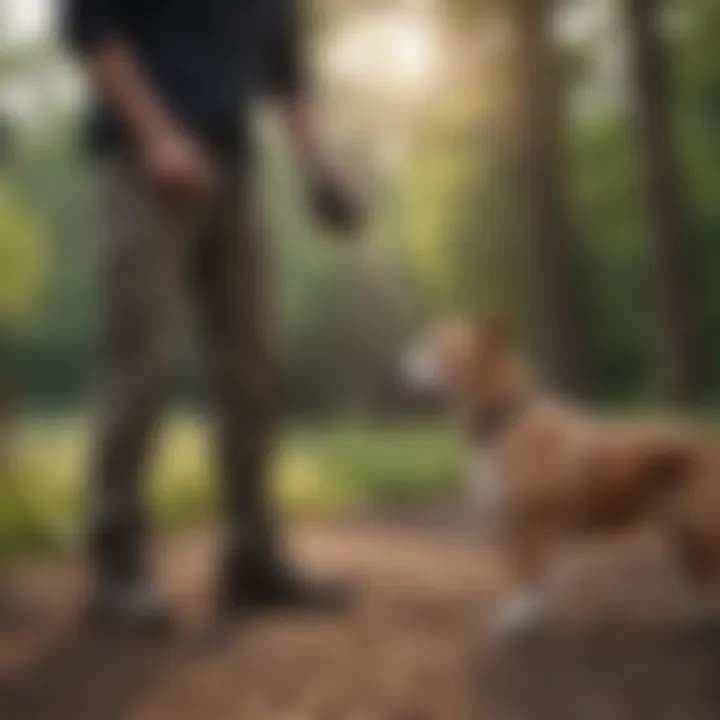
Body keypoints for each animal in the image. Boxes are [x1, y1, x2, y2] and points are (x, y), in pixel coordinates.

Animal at [404, 318, 720, 632]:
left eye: (442, 353)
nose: (401, 369)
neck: (508, 418)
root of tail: (709, 441)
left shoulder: (532, 521)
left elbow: (527, 572)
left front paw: (521, 619)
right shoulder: (513, 520)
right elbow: (525, 572)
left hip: (700, 527)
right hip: (683, 531)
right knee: (699, 577)